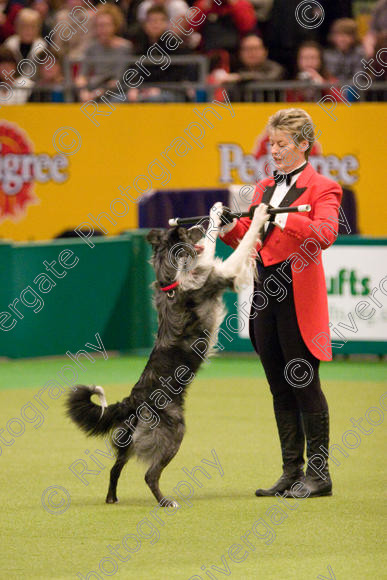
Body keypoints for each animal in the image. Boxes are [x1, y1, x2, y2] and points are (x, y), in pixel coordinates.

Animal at [66, 203, 270, 508]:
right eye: (186, 232)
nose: (195, 225)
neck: (170, 278)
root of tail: (133, 399)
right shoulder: (222, 274)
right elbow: (230, 245)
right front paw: (247, 216)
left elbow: (210, 248)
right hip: (174, 431)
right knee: (150, 474)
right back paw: (166, 502)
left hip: (129, 439)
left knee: (115, 468)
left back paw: (112, 498)